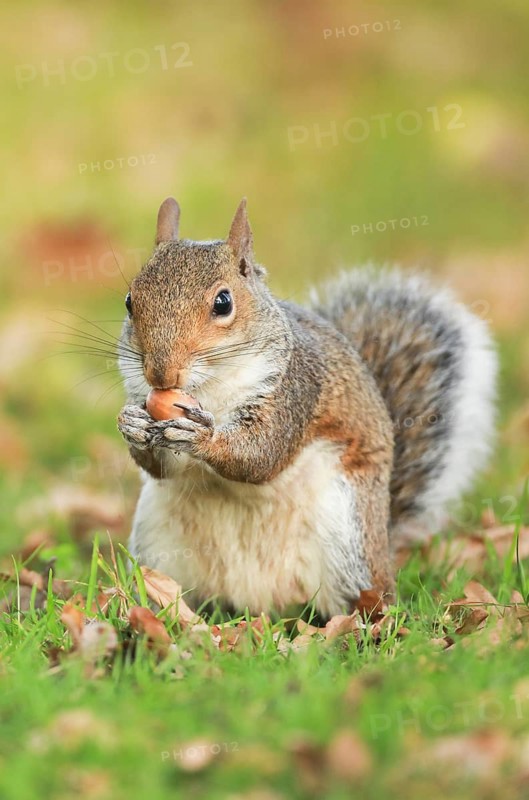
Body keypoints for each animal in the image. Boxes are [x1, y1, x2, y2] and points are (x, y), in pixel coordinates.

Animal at [117, 197, 497, 618]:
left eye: (223, 302)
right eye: (130, 301)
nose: (161, 373)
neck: (211, 389)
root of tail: (260, 605)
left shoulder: (296, 390)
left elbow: (262, 455)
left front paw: (201, 435)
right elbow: (162, 467)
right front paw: (132, 425)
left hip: (348, 539)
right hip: (157, 545)